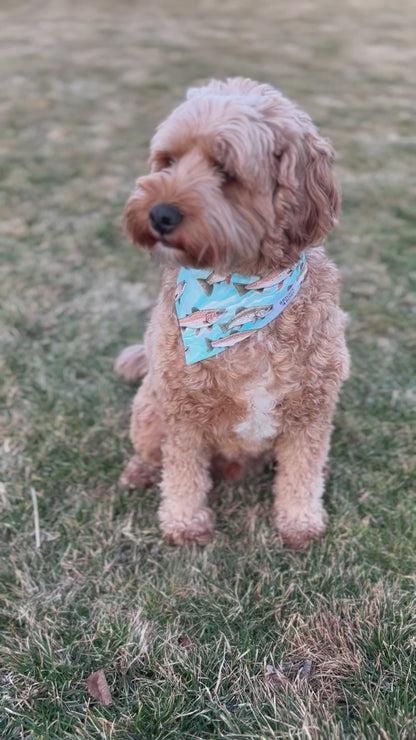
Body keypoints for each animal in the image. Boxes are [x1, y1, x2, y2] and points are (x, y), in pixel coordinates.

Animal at [115, 76, 350, 548]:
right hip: (149, 409)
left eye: (226, 171)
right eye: (168, 161)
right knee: (153, 453)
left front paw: (300, 521)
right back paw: (140, 471)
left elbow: (302, 469)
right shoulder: (182, 408)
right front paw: (184, 523)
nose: (158, 214)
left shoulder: (312, 407)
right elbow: (183, 471)